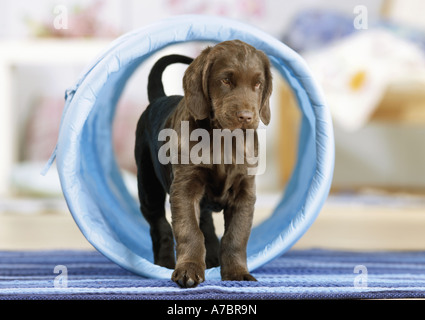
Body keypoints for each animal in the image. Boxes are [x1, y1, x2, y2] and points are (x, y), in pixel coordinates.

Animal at [134, 39, 270, 288]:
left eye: (258, 84)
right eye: (225, 80)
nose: (246, 117)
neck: (222, 138)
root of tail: (159, 98)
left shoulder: (245, 192)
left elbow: (236, 235)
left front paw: (237, 273)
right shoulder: (184, 187)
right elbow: (189, 230)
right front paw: (188, 271)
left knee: (206, 224)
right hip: (148, 185)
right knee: (160, 225)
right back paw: (164, 263)